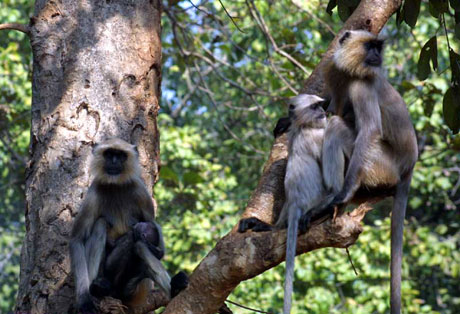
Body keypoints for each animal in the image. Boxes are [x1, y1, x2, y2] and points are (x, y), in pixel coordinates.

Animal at [70, 139, 172, 312]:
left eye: (120, 155)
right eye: (110, 154)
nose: (114, 161)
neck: (116, 185)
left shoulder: (140, 190)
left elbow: (152, 223)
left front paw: (155, 249)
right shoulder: (93, 193)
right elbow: (77, 239)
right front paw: (84, 299)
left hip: (136, 289)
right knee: (100, 224)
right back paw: (96, 289)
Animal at [322, 30, 418, 314]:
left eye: (378, 47)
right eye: (370, 47)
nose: (377, 56)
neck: (351, 71)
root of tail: (409, 168)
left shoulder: (362, 85)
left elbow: (369, 130)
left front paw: (342, 194)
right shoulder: (334, 73)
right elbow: (334, 107)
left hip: (381, 165)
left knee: (337, 126)